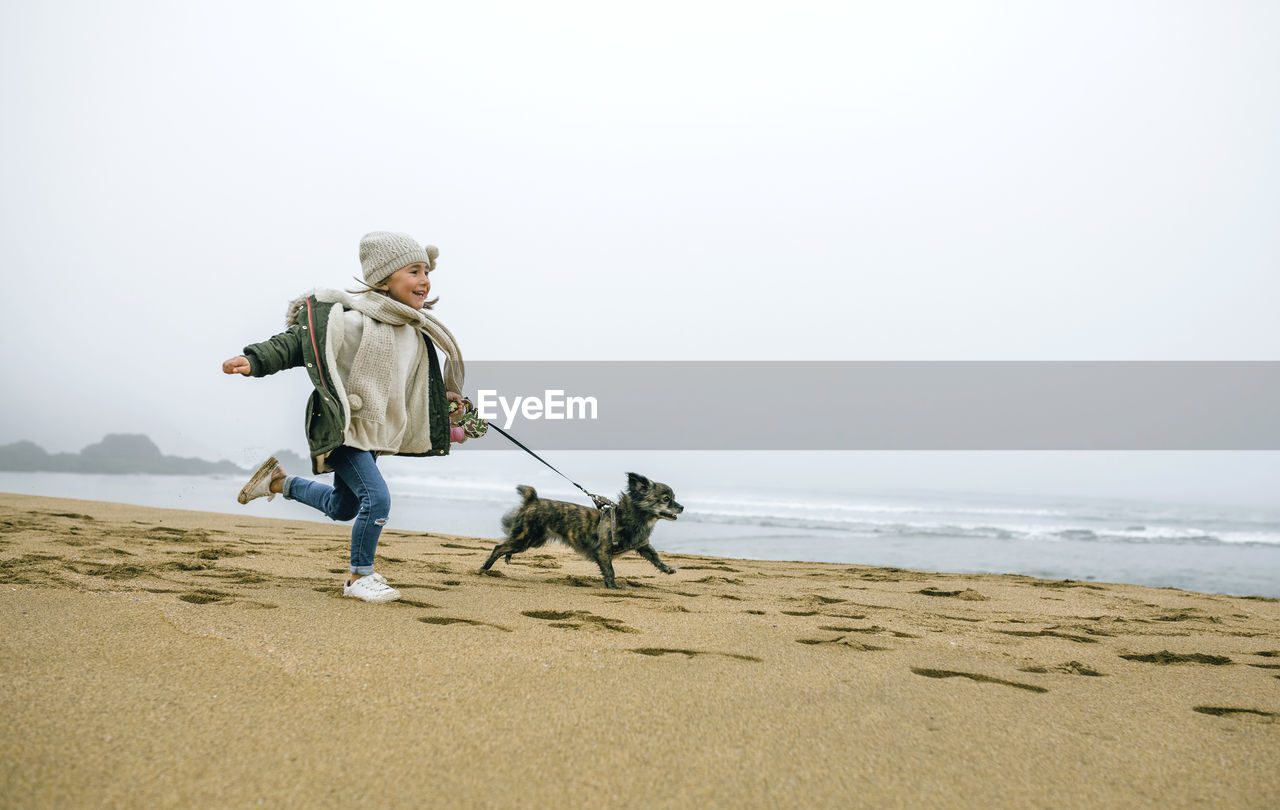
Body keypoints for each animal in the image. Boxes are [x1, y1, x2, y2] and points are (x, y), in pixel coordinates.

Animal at [481, 468, 680, 588]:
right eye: (666, 499)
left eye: (673, 498)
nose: (682, 507)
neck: (632, 516)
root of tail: (532, 500)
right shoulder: (602, 551)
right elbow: (610, 570)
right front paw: (613, 586)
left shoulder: (642, 545)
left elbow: (655, 556)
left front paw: (667, 568)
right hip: (525, 538)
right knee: (498, 547)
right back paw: (485, 568)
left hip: (532, 540)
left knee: (506, 547)